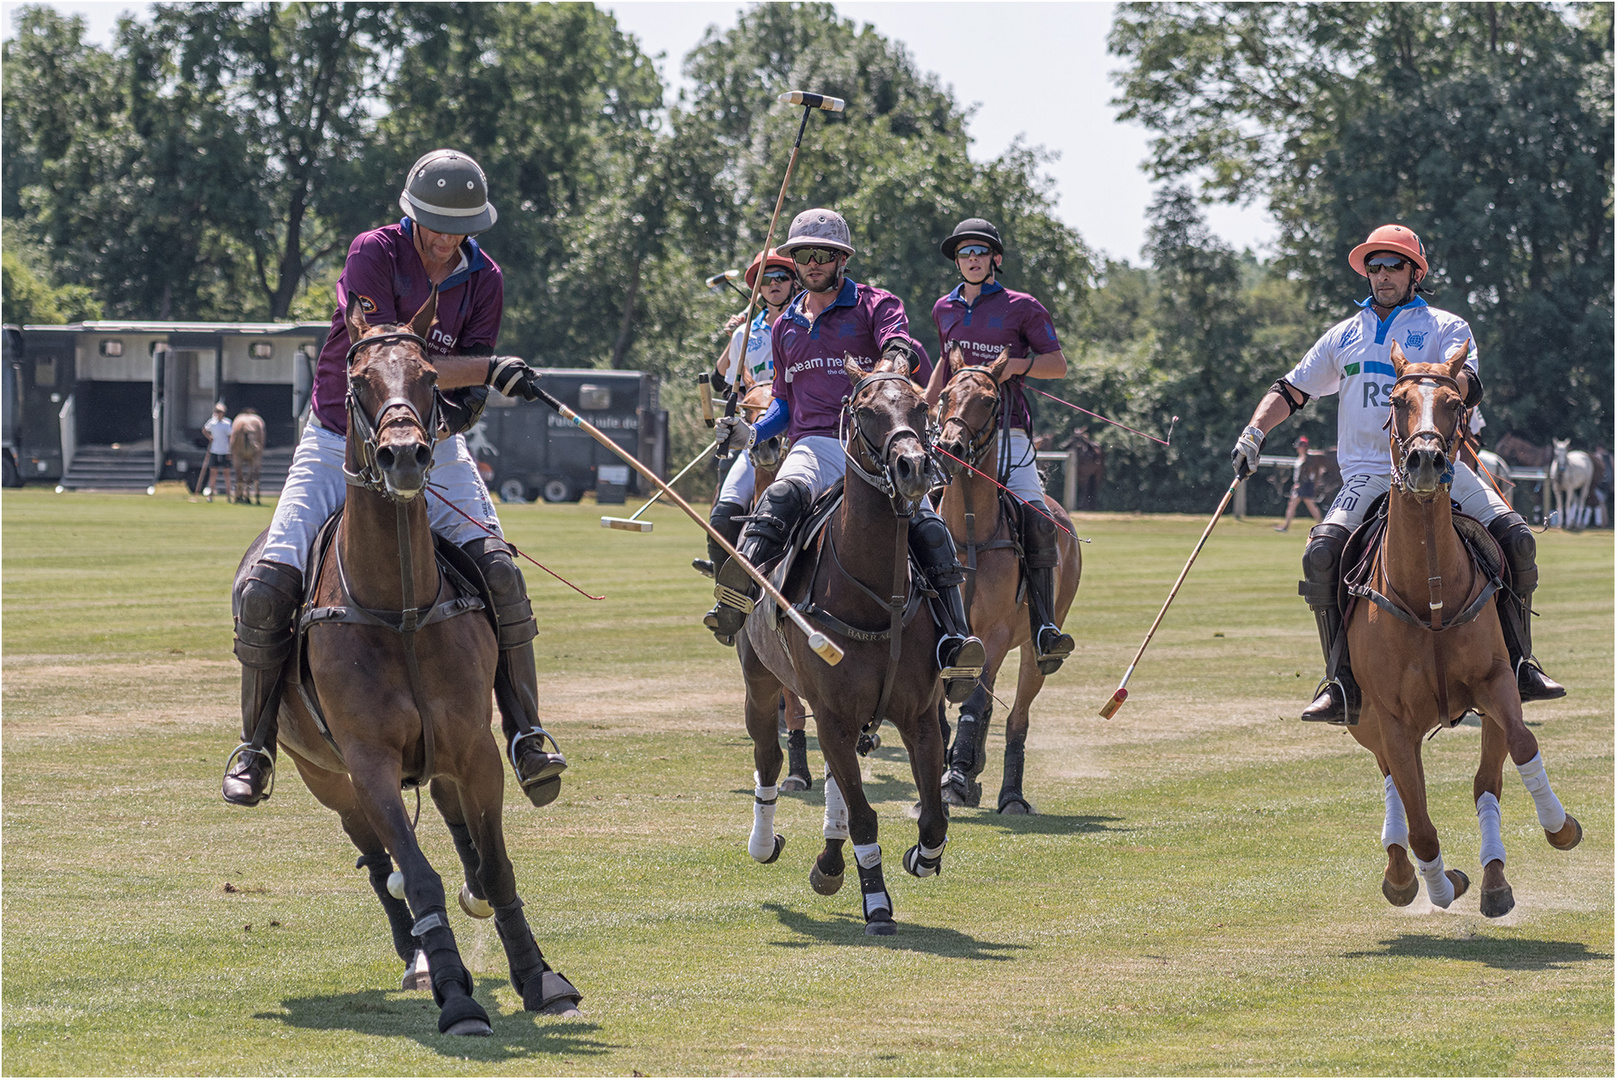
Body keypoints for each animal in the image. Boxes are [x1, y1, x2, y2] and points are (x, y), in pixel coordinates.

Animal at [227, 291, 582, 1034]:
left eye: (428, 377)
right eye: (358, 381)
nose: (405, 456)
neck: (401, 609)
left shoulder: (474, 746)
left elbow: (497, 863)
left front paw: (541, 978)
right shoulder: (369, 762)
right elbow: (414, 874)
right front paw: (456, 995)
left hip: (444, 751)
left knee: (455, 825)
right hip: (321, 771)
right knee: (374, 858)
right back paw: (417, 953)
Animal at [734, 354, 944, 937]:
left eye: (922, 405)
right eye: (868, 411)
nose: (913, 468)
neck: (874, 597)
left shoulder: (920, 715)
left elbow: (933, 814)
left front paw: (921, 858)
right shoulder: (830, 714)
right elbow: (866, 816)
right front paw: (878, 905)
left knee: (834, 786)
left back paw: (829, 861)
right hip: (761, 684)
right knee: (768, 760)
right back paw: (764, 843)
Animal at [931, 350, 1080, 814]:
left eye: (990, 400)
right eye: (945, 393)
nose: (950, 447)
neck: (967, 533)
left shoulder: (993, 633)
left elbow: (974, 704)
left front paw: (956, 775)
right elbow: (943, 704)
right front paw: (953, 769)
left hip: (1035, 645)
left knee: (1017, 716)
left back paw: (1010, 794)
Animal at [1338, 341, 1578, 918]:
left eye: (1453, 402)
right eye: (1397, 400)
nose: (1425, 460)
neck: (1429, 595)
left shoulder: (1495, 682)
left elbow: (1522, 745)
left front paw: (1560, 827)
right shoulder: (1392, 718)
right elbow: (1420, 819)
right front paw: (1438, 884)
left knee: (1485, 780)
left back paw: (1493, 879)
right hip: (1365, 720)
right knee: (1397, 786)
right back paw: (1404, 875)